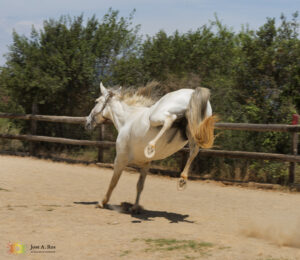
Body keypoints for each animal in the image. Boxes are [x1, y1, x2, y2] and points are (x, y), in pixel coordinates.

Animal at [86, 82, 216, 212]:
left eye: (96, 101)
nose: (87, 123)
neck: (127, 120)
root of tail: (192, 92)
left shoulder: (120, 159)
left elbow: (113, 182)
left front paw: (102, 202)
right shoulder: (145, 164)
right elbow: (140, 185)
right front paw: (135, 208)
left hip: (156, 117)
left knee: (169, 120)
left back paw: (151, 147)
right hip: (194, 127)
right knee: (194, 149)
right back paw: (182, 179)